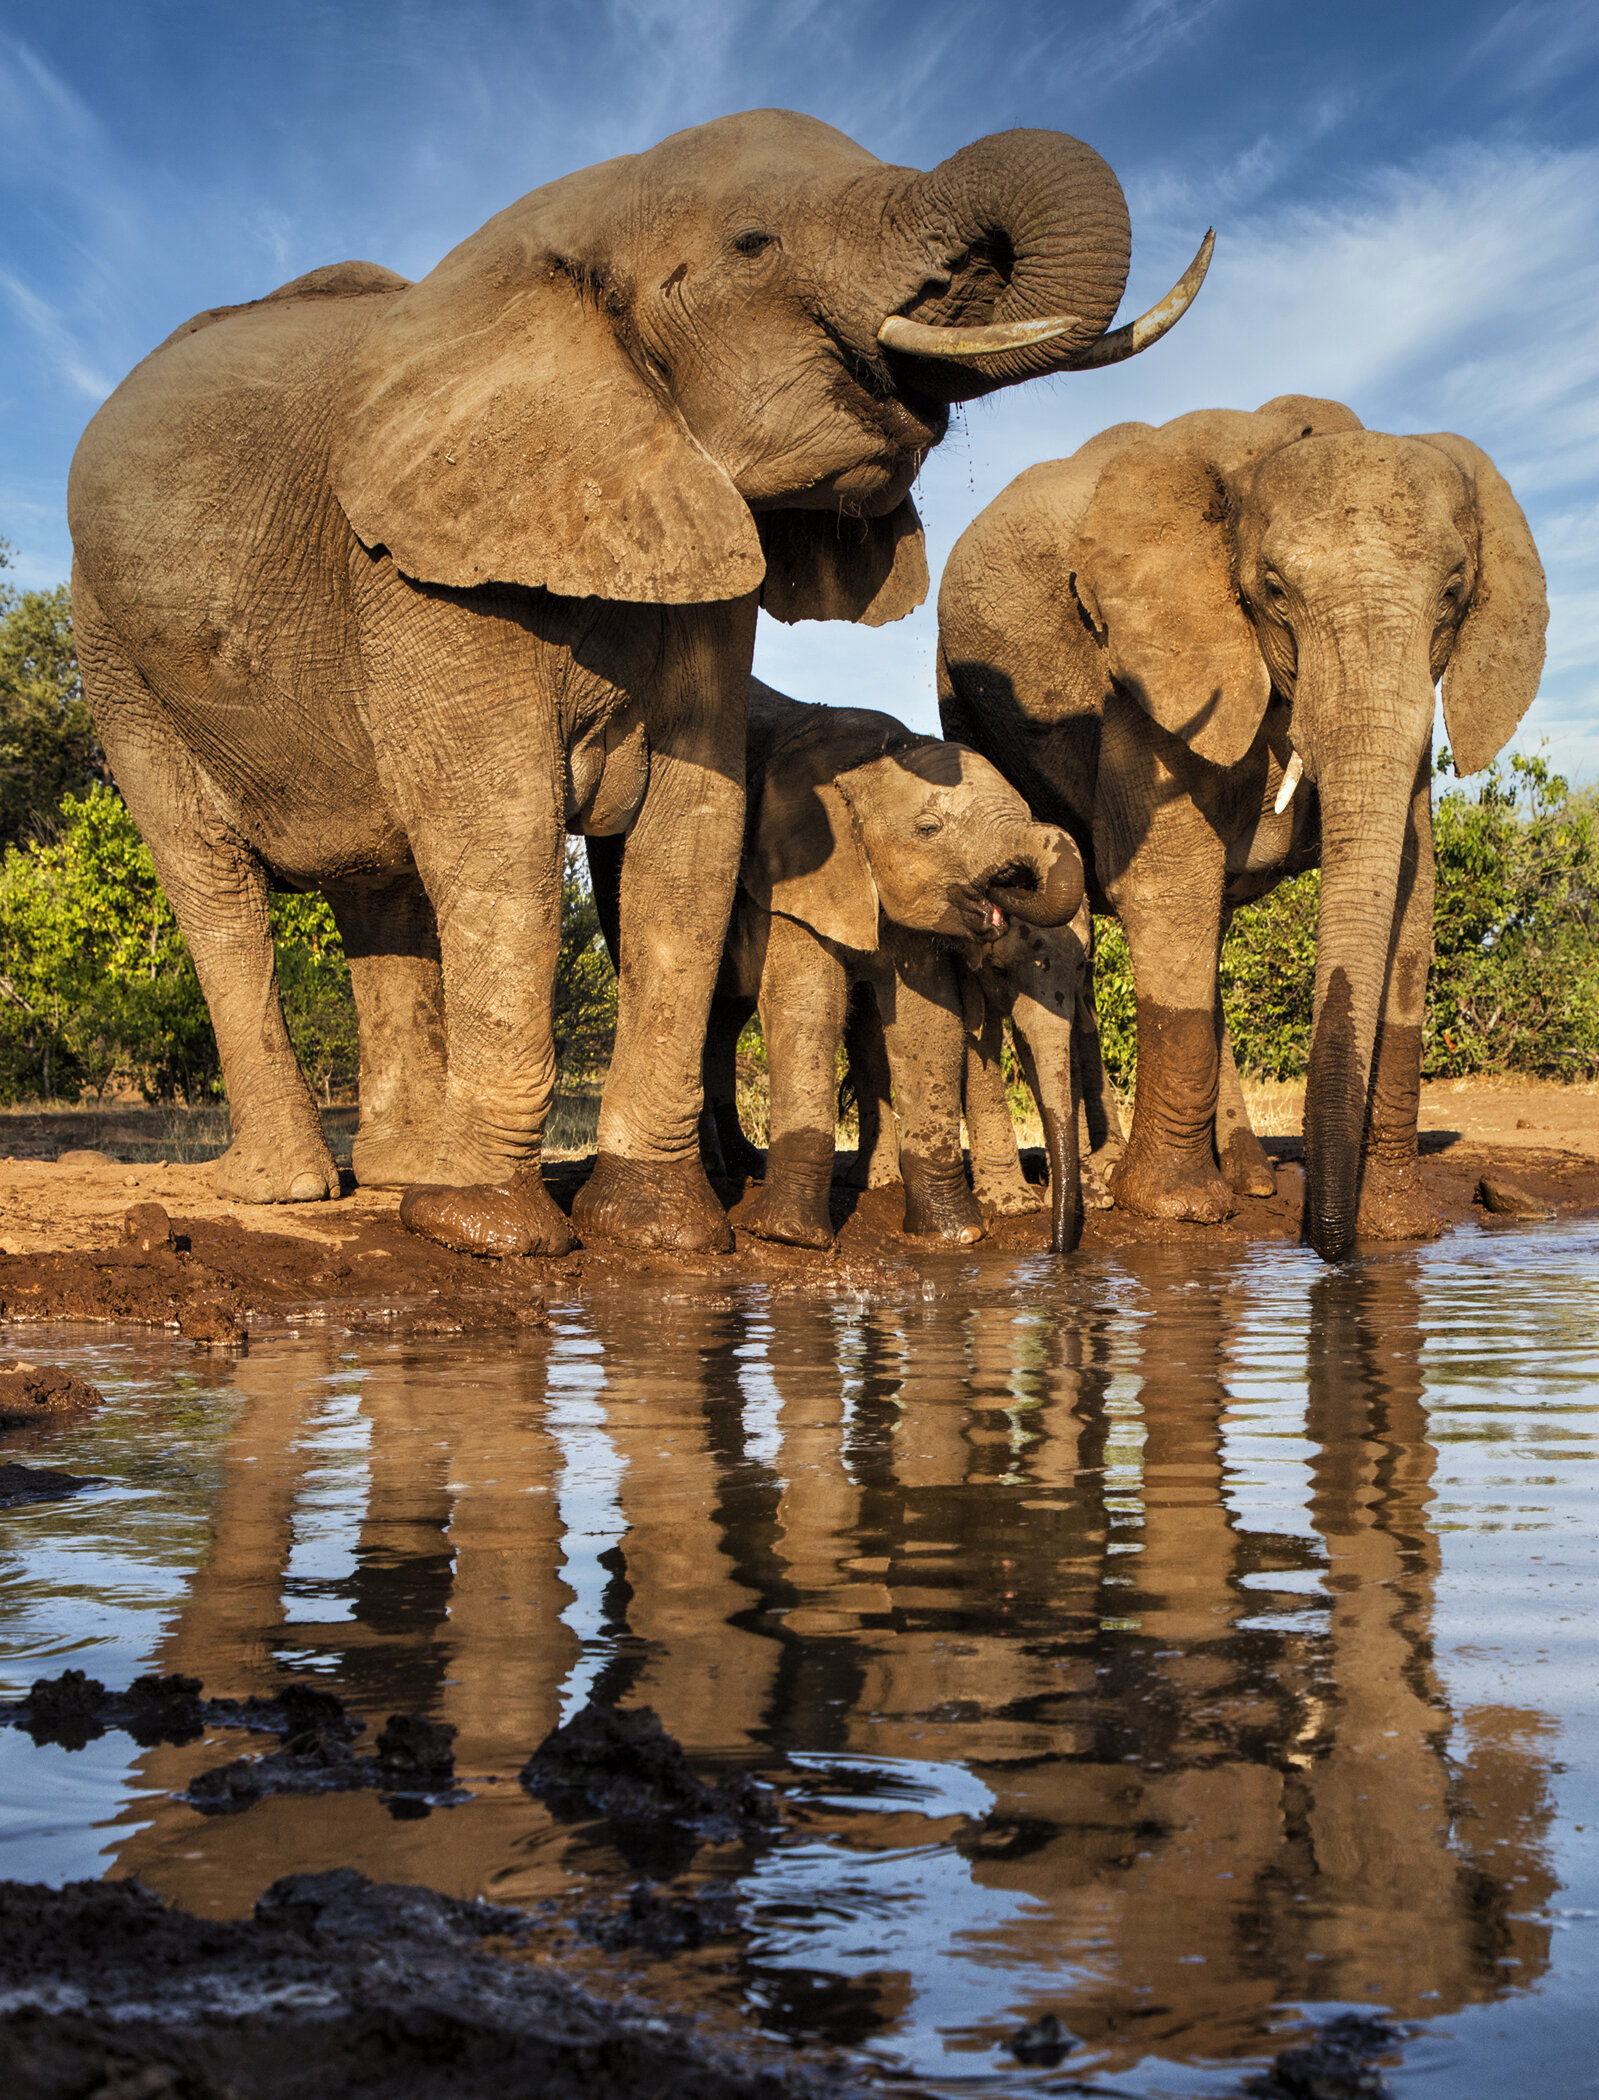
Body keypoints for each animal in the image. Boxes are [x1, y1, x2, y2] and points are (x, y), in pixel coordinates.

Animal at [697, 684, 1075, 1243]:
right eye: (928, 828)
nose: (1008, 882)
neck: (869, 756)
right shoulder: (789, 877)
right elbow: (809, 1006)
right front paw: (788, 1235)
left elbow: (927, 1022)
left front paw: (955, 1235)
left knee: (724, 1020)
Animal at [937, 396, 1546, 1260]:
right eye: (1272, 589)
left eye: (1454, 591)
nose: (1324, 1243)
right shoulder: (1150, 665)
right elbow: (1166, 886)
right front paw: (1176, 1211)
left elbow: (1412, 893)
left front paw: (1397, 1230)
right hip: (962, 704)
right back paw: (1100, 1182)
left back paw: (1251, 1178)